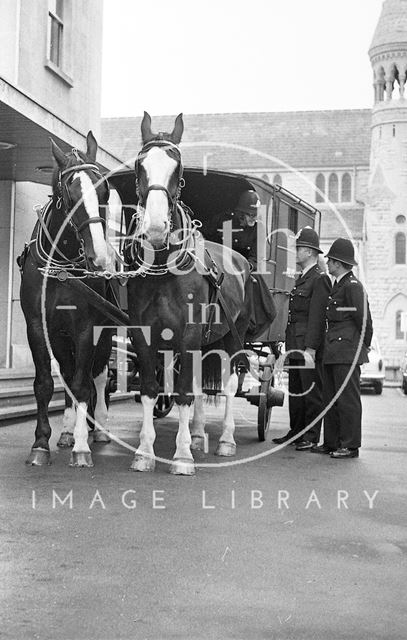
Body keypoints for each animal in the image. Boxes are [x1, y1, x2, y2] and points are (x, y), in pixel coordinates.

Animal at [20, 132, 114, 468]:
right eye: (70, 195)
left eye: (104, 190)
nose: (99, 257)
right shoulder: (38, 326)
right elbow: (46, 383)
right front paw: (41, 443)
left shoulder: (86, 327)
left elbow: (82, 383)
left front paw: (83, 446)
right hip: (61, 337)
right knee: (69, 371)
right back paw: (67, 431)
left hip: (105, 333)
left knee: (97, 376)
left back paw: (98, 429)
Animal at [124, 111, 253, 476]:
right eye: (140, 165)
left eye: (178, 169)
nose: (155, 228)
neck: (164, 268)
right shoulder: (145, 334)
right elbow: (152, 390)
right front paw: (145, 452)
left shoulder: (189, 333)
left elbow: (182, 393)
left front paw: (181, 457)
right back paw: (196, 434)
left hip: (232, 337)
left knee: (229, 384)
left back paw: (225, 440)